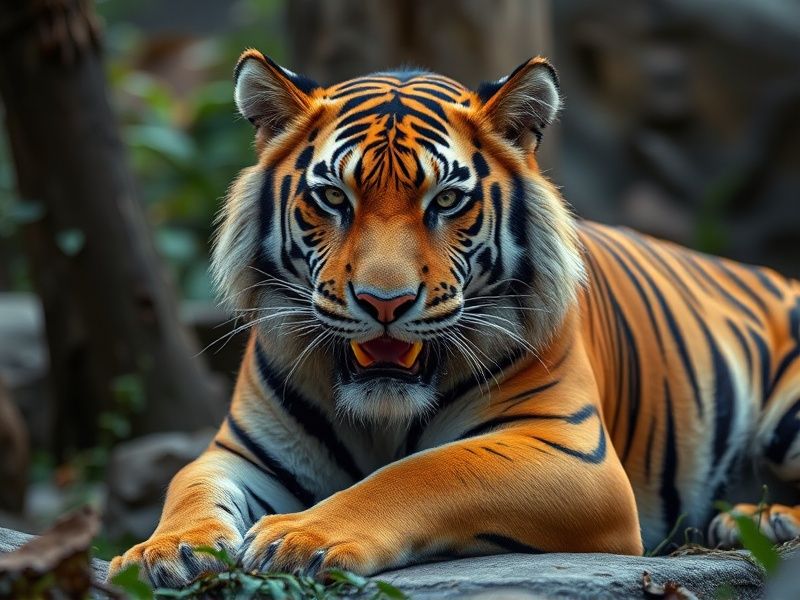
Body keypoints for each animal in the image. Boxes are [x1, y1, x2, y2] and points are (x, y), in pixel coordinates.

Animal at [109, 50, 800, 587]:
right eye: (333, 197)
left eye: (445, 200)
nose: (383, 302)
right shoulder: (243, 451)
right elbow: (186, 484)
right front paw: (164, 551)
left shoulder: (570, 449)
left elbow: (424, 472)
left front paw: (300, 537)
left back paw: (767, 519)